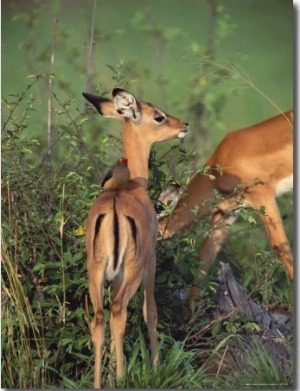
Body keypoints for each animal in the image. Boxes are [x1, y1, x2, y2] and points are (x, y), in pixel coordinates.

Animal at [82, 89, 188, 388]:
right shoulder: (150, 261)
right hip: (133, 270)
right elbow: (150, 311)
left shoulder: (114, 277)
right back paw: (121, 378)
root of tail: (114, 205)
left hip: (96, 272)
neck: (133, 184)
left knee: (99, 317)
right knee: (119, 312)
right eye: (158, 116)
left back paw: (99, 383)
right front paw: (155, 367)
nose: (184, 125)